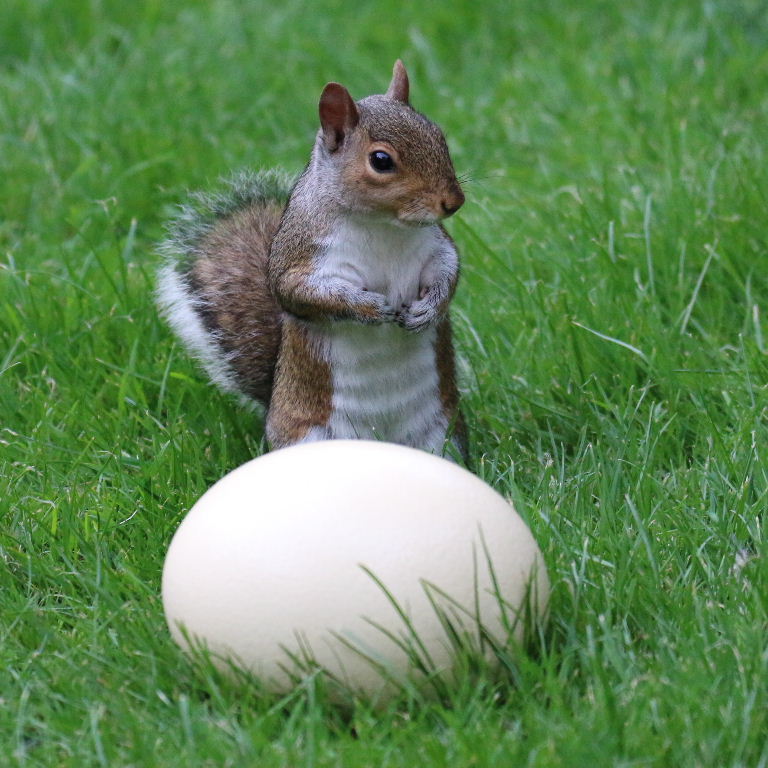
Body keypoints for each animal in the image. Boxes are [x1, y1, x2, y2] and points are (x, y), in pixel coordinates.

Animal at [157, 60, 468, 459]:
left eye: (438, 135)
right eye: (381, 160)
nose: (453, 201)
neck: (383, 224)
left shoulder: (435, 245)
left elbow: (448, 270)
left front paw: (429, 309)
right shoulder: (304, 257)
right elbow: (302, 292)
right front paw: (368, 307)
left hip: (444, 435)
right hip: (311, 436)